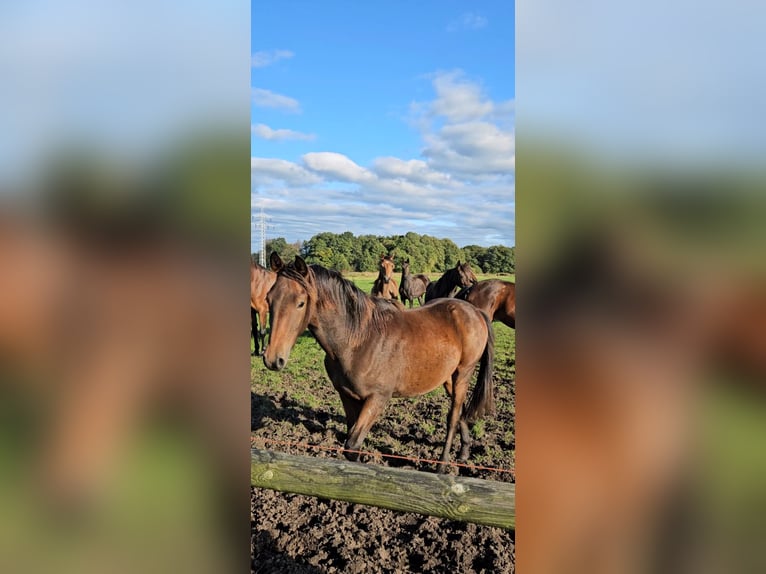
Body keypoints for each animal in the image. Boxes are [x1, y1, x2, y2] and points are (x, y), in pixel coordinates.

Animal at [260, 254, 496, 470]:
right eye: (269, 299)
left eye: (300, 303)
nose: (272, 359)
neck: (358, 339)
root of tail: (474, 311)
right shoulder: (347, 396)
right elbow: (350, 443)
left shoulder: (378, 398)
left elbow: (353, 445)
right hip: (447, 376)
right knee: (461, 409)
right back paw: (464, 452)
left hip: (463, 373)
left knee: (453, 416)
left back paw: (442, 463)